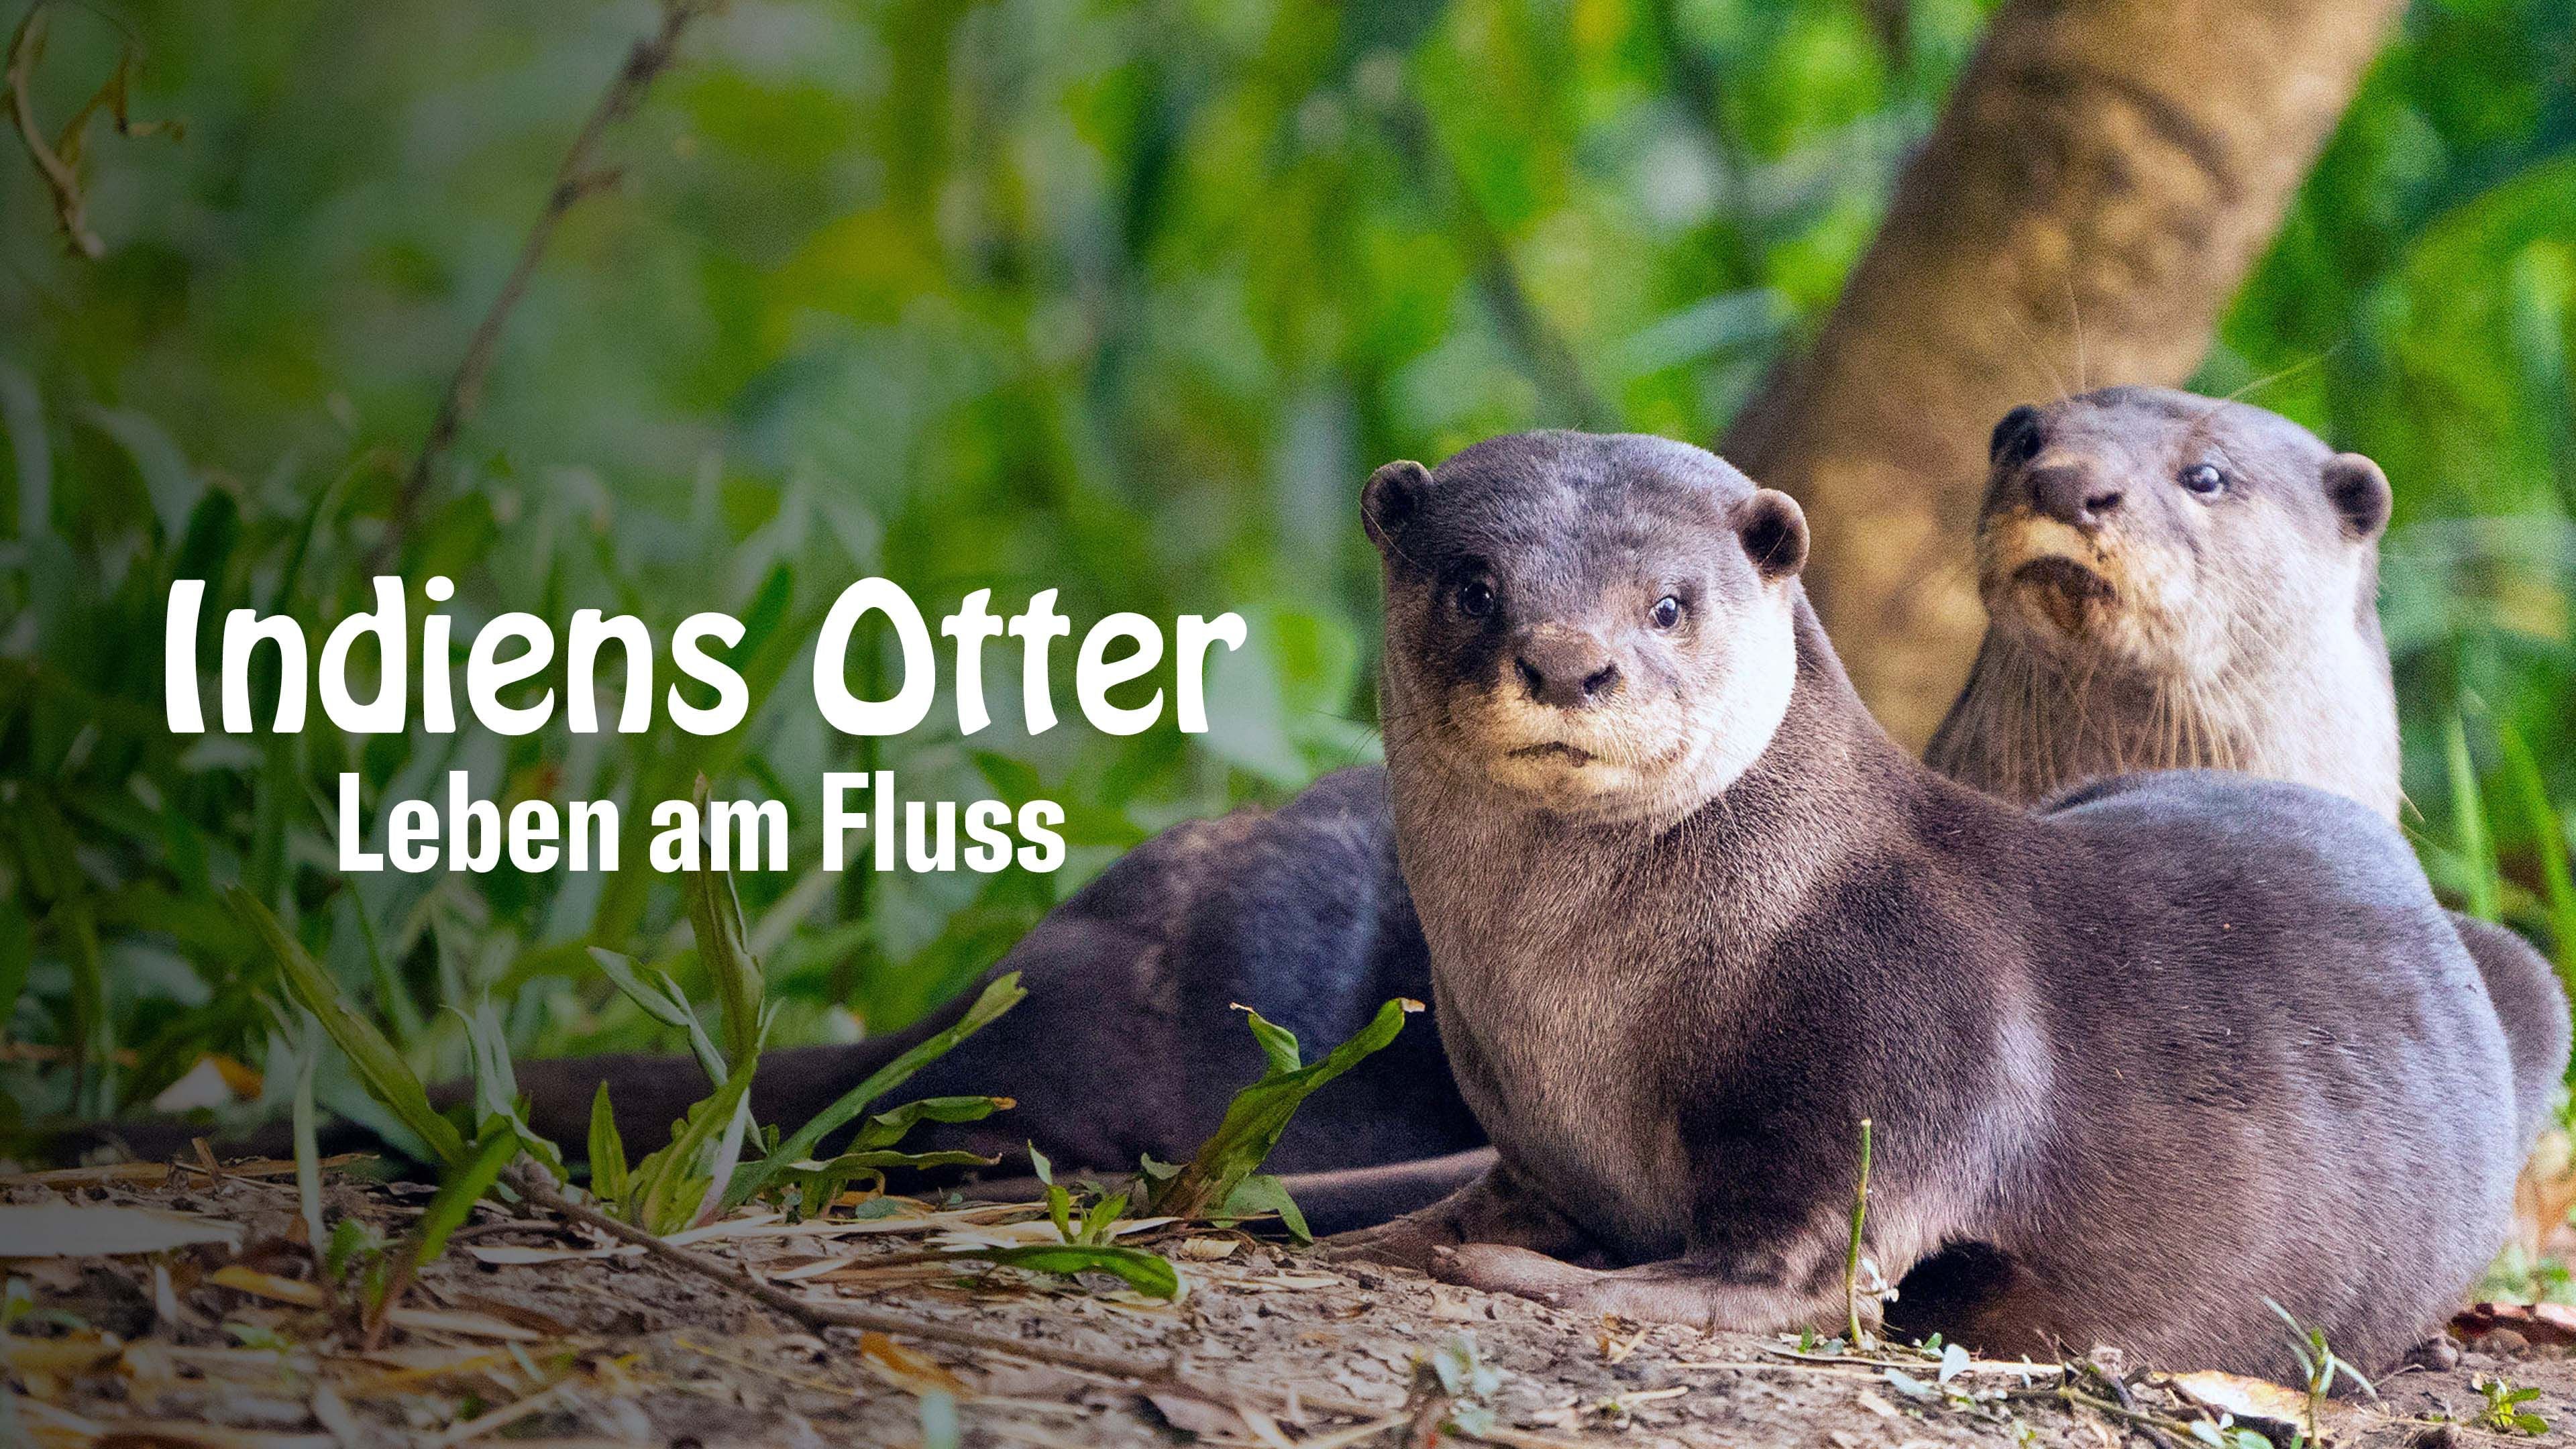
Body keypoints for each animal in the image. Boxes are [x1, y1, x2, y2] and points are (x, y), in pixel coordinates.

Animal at [1338, 429, 2534, 1377]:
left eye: (1668, 606)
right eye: (1476, 587)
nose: (1566, 663)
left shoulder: (1899, 1044)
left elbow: (1803, 1273)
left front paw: (1522, 1271)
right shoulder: (1533, 1140)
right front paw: (1372, 1233)